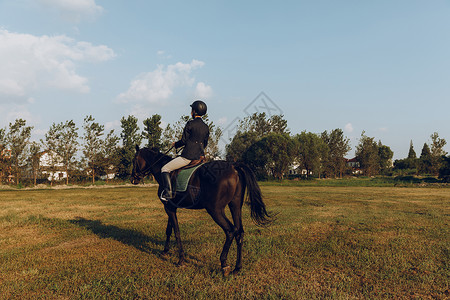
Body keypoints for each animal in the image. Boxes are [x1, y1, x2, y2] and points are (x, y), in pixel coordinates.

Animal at [130, 146, 270, 276]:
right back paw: (237, 267)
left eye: (134, 160)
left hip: (215, 210)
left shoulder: (169, 208)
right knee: (239, 232)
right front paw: (165, 251)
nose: (133, 179)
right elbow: (169, 229)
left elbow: (176, 232)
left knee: (230, 230)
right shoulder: (171, 207)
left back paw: (224, 264)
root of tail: (234, 166)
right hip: (235, 206)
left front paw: (180, 260)